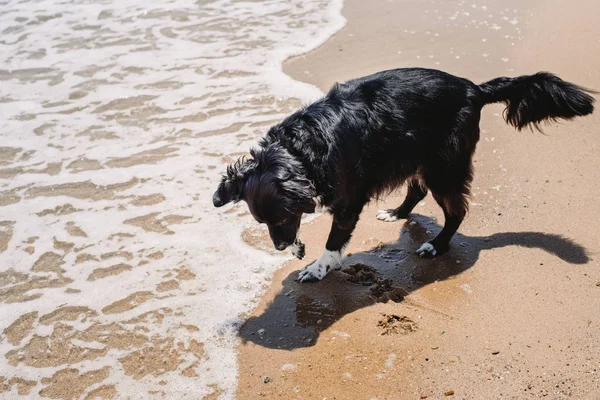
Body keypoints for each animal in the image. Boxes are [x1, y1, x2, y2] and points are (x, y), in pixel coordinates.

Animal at [213, 68, 592, 282]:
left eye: (280, 217)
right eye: (261, 222)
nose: (278, 247)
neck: (302, 148)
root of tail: (473, 88)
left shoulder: (348, 201)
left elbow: (334, 241)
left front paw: (319, 268)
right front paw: (298, 249)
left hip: (443, 166)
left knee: (456, 211)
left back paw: (436, 245)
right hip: (419, 156)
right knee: (418, 191)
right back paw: (397, 212)